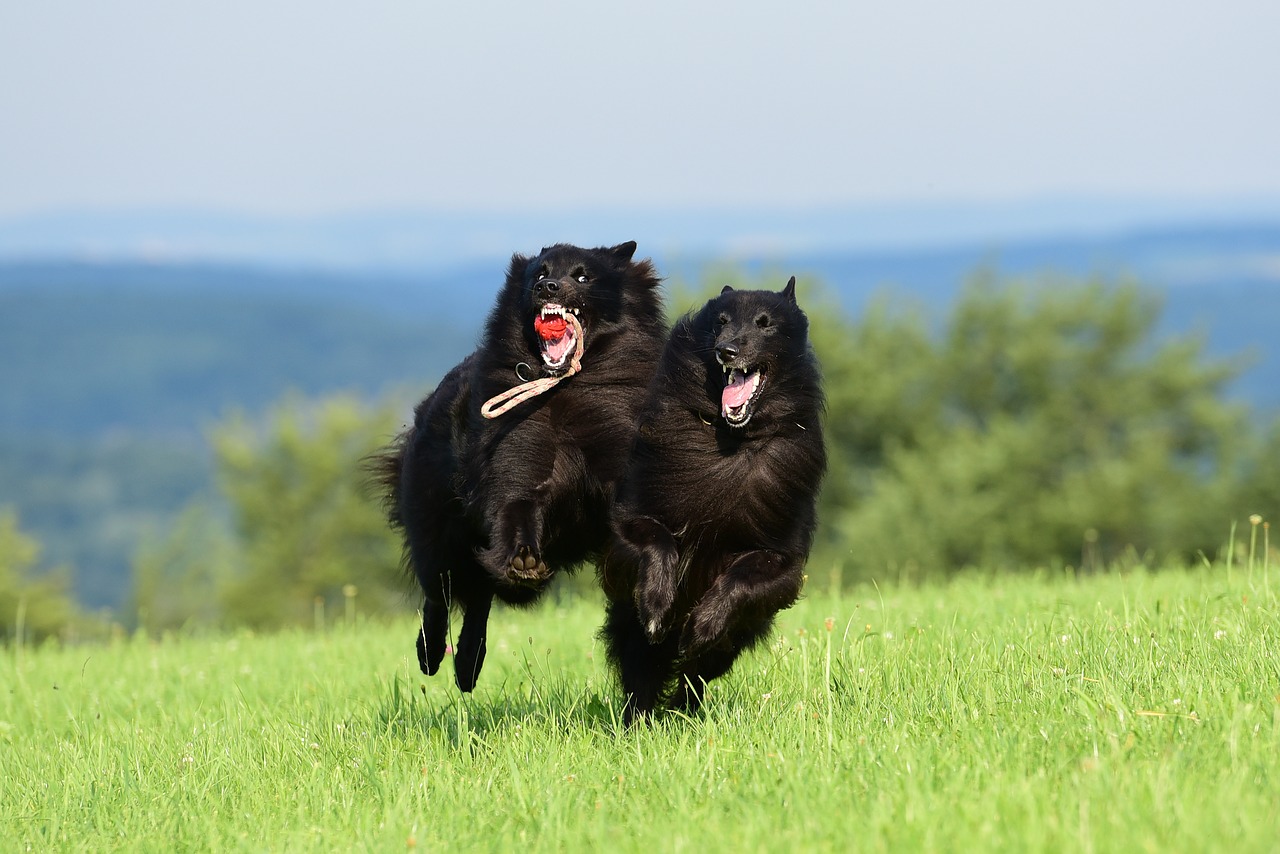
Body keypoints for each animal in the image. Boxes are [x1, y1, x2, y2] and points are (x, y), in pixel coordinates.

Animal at [373, 239, 665, 686]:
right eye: (539, 273)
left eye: (583, 276)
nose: (547, 287)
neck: (563, 390)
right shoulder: (517, 467)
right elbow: (518, 506)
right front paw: (523, 557)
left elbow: (644, 530)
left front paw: (653, 598)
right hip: (437, 529)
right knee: (439, 593)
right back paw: (432, 654)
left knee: (477, 600)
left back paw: (467, 665)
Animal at [601, 279, 829, 722]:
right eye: (720, 322)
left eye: (765, 323)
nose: (727, 350)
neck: (733, 438)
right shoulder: (629, 521)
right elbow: (658, 541)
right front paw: (657, 604)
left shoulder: (779, 559)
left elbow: (739, 579)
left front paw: (703, 623)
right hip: (632, 633)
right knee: (641, 674)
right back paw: (639, 722)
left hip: (730, 643)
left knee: (695, 674)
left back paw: (683, 710)